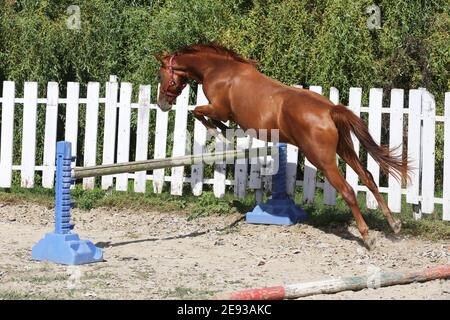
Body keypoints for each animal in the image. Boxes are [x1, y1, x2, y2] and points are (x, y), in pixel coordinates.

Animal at [156, 43, 410, 249]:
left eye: (161, 75)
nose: (162, 104)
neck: (219, 70)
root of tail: (330, 110)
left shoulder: (219, 108)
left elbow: (198, 112)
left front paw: (220, 133)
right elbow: (203, 114)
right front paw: (225, 133)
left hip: (322, 159)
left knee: (348, 191)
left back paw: (367, 237)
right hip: (343, 150)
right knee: (368, 178)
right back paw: (394, 224)